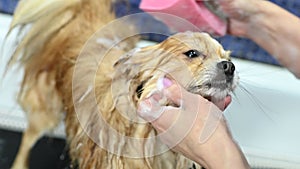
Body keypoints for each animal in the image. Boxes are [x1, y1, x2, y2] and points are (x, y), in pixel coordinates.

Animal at [6, 0, 237, 169]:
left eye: (226, 57)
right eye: (192, 53)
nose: (229, 66)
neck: (150, 136)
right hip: (45, 110)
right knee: (28, 139)